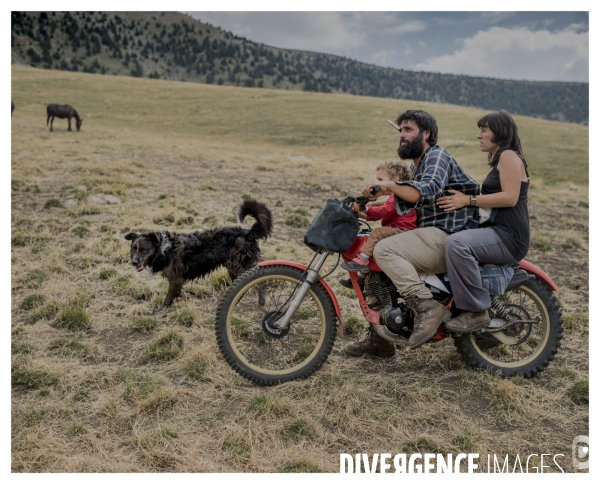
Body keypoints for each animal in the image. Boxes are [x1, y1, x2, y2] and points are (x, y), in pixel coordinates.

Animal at [125, 199, 274, 312]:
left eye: (144, 250)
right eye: (133, 249)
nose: (134, 262)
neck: (164, 249)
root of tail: (247, 233)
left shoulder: (175, 279)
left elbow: (167, 298)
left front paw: (160, 310)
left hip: (239, 266)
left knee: (259, 280)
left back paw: (261, 300)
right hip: (233, 268)